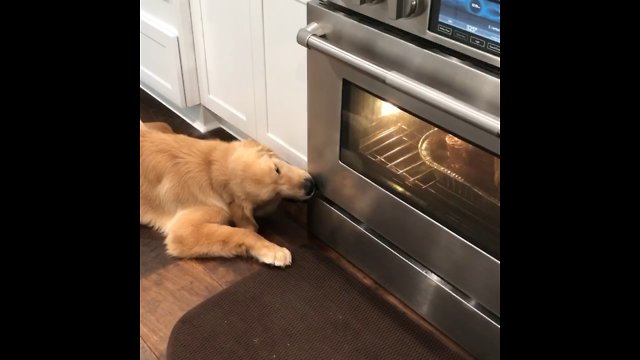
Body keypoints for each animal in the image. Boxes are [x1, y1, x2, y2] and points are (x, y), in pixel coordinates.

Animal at [140, 122, 316, 266]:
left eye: (277, 169)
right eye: (273, 195)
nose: (310, 187)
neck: (210, 170)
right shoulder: (183, 232)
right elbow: (242, 232)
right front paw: (273, 250)